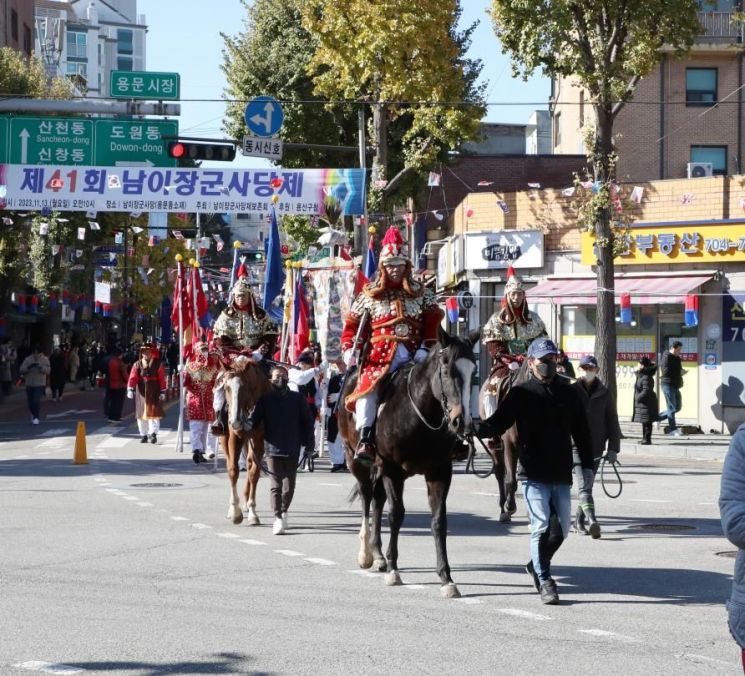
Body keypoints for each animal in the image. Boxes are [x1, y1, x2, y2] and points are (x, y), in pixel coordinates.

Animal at [218, 356, 270, 524]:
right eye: (226, 388)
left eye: (245, 387)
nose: (235, 421)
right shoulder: (235, 437)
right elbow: (233, 470)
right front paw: (235, 512)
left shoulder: (258, 439)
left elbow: (254, 472)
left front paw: (253, 512)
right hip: (225, 438)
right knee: (231, 463)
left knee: (249, 463)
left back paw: (247, 502)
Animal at [338, 328, 476, 596]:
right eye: (446, 370)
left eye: (473, 372)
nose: (461, 422)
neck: (419, 417)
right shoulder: (392, 470)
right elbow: (396, 515)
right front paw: (394, 570)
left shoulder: (440, 471)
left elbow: (439, 521)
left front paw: (446, 578)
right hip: (355, 460)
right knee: (367, 497)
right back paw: (367, 554)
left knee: (377, 500)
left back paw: (378, 555)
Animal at [476, 360, 528, 524]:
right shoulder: (511, 444)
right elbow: (510, 479)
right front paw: (510, 507)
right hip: (496, 445)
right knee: (500, 473)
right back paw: (503, 506)